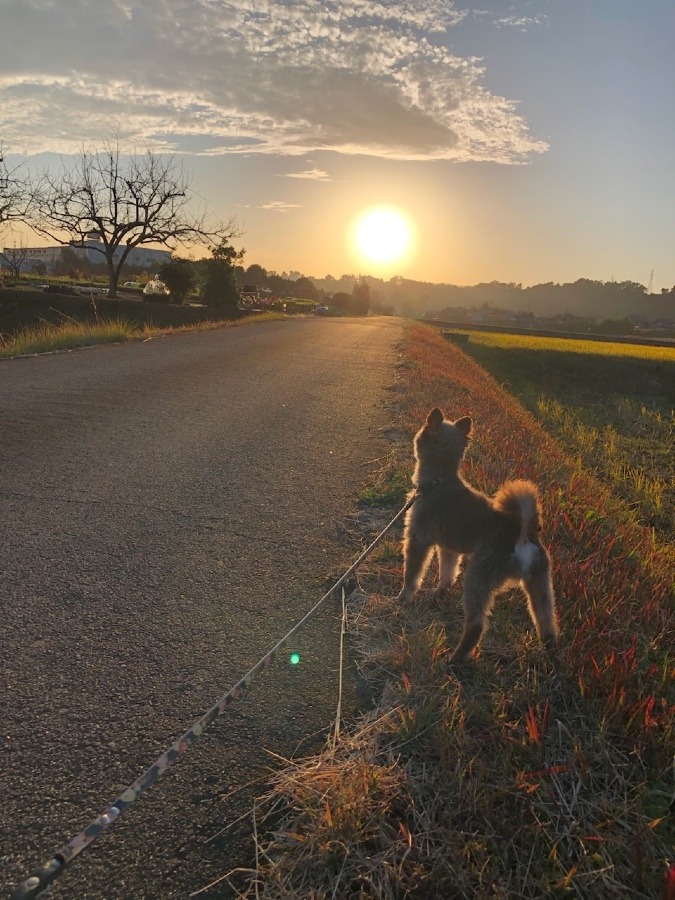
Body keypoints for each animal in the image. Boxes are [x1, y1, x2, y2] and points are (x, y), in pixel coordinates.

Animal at [398, 408, 556, 660]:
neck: (439, 481)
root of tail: (522, 533)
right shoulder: (449, 549)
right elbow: (447, 573)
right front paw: (439, 592)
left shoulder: (418, 540)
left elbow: (412, 575)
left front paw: (403, 598)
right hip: (540, 587)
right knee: (548, 624)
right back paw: (552, 653)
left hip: (477, 578)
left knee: (476, 625)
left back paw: (455, 659)